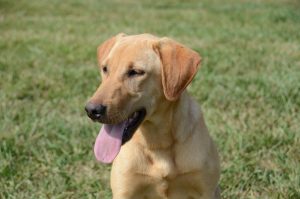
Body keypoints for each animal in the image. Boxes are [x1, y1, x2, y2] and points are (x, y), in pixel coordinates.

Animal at [85, 33, 220, 198]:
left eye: (135, 72)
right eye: (105, 69)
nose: (91, 110)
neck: (158, 144)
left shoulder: (205, 190)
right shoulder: (125, 190)